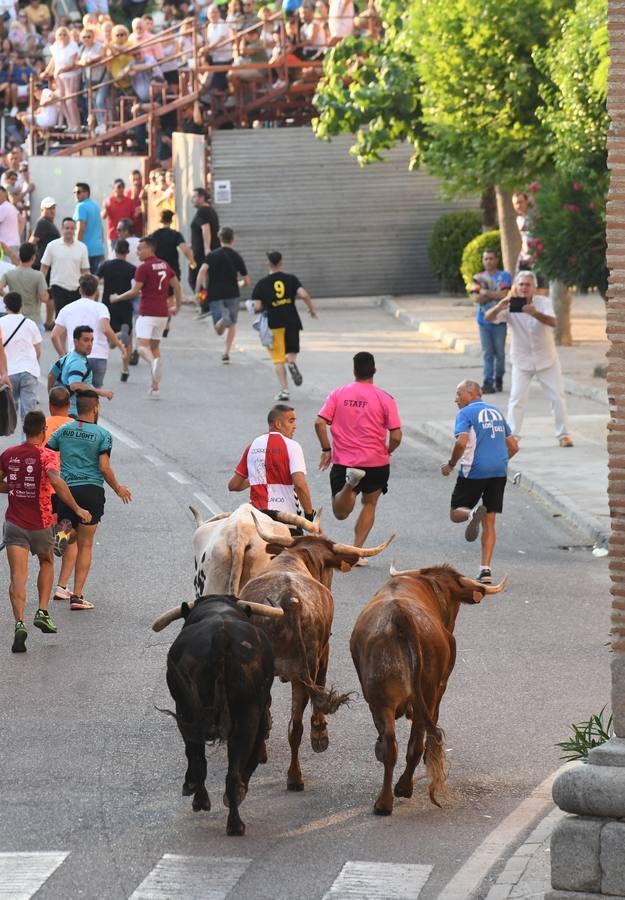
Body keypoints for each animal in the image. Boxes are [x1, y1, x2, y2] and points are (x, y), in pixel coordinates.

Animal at [166, 596, 272, 836]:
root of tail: (220, 636)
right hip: (249, 714)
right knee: (234, 770)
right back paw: (235, 819)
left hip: (188, 711)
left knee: (198, 759)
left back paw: (202, 800)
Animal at [239, 512, 394, 796]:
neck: (295, 557)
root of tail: (289, 601)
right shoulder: (324, 651)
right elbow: (320, 687)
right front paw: (320, 733)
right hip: (305, 667)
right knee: (295, 724)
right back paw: (295, 776)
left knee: (270, 718)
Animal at [348, 564, 504, 816]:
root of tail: (401, 616)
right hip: (429, 692)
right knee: (416, 743)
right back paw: (401, 788)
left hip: (383, 699)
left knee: (392, 745)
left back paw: (386, 800)